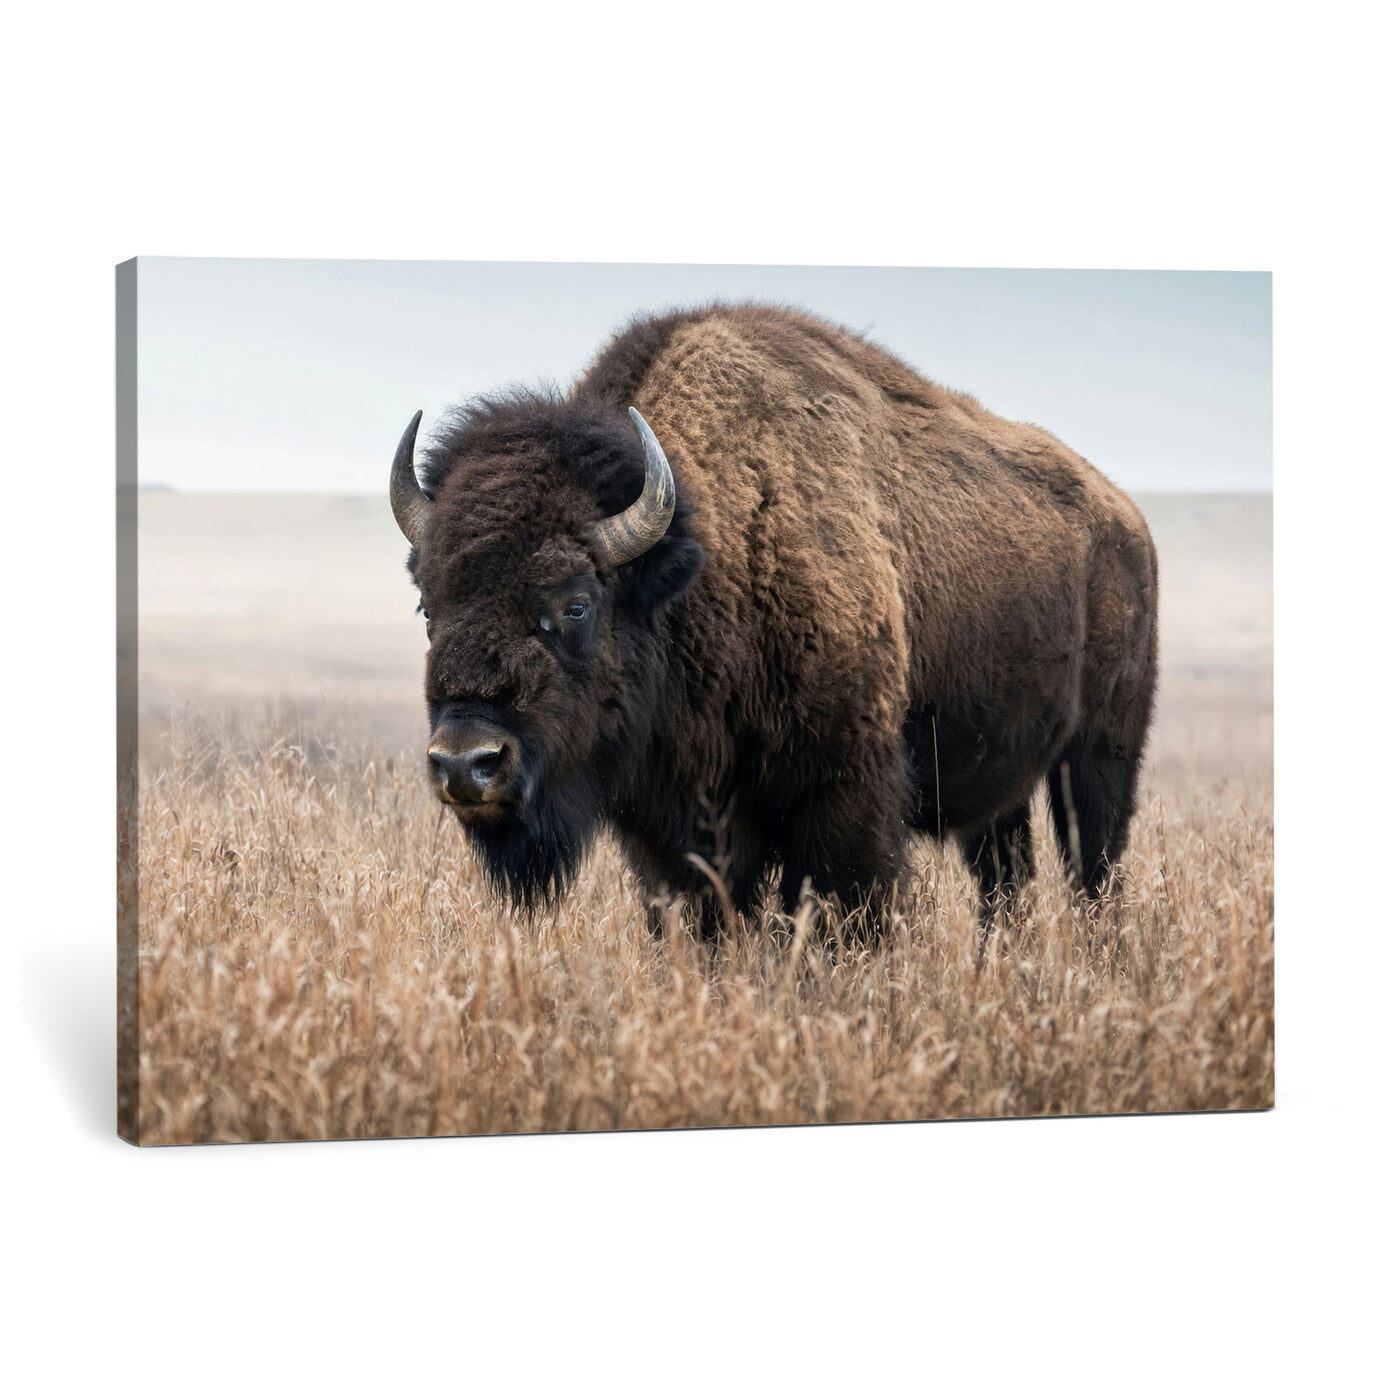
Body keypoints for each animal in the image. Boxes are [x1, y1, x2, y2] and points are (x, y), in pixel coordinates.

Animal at [390, 304, 1158, 939]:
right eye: (429, 603)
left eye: (574, 604)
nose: (465, 762)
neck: (708, 553)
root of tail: (1126, 519)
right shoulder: (674, 831)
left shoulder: (843, 800)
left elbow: (844, 920)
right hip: (1003, 787)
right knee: (1006, 880)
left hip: (1100, 753)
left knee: (1094, 873)